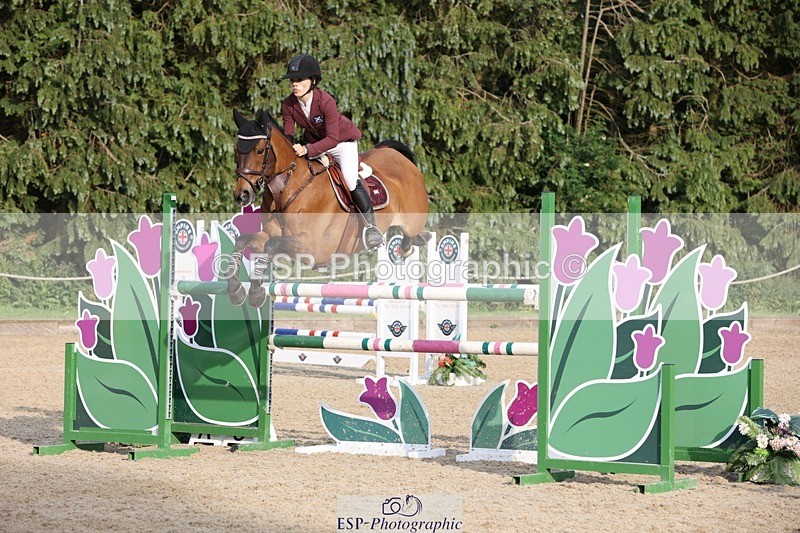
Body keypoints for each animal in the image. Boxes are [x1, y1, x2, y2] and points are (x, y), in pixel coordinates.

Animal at [226, 109, 430, 307]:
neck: (287, 187)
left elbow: (271, 244)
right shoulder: (270, 234)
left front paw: (255, 292)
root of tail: (400, 158)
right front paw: (236, 290)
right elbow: (243, 240)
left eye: (260, 151)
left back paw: (404, 246)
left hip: (413, 218)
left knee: (410, 234)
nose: (241, 194)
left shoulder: (312, 247)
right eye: (236, 151)